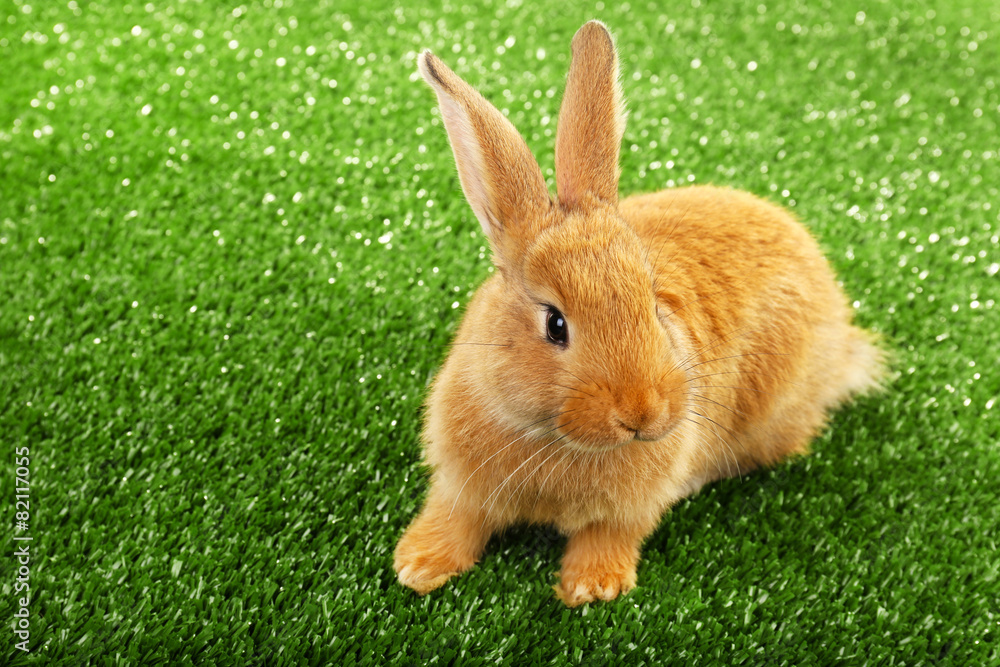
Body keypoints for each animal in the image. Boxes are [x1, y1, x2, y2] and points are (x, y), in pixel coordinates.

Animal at [393, 20, 885, 607]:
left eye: (653, 304)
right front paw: (418, 566)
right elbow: (457, 517)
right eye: (555, 324)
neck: (552, 437)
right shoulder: (463, 484)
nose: (642, 413)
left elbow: (611, 533)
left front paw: (591, 587)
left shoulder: (630, 509)